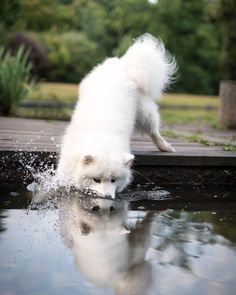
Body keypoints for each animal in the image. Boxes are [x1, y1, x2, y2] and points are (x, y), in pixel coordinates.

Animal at [56, 33, 175, 199]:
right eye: (96, 180)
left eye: (113, 180)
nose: (107, 197)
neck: (101, 136)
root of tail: (123, 64)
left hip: (145, 114)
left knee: (154, 131)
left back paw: (165, 146)